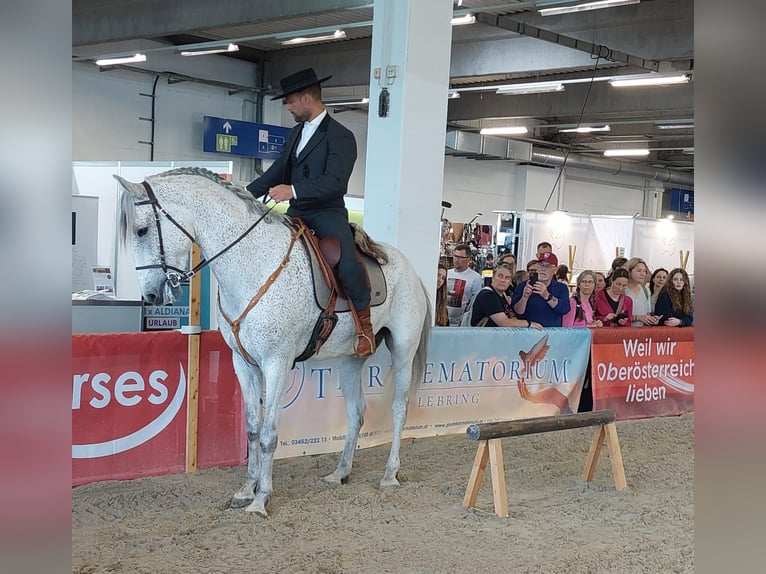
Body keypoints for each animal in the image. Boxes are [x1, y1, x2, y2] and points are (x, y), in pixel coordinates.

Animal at [118, 169, 436, 520]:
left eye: (142, 230)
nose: (150, 296)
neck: (253, 266)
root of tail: (409, 269)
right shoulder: (243, 364)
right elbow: (253, 429)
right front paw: (246, 489)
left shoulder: (276, 363)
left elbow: (269, 434)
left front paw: (261, 499)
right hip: (351, 359)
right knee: (356, 412)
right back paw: (340, 472)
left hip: (403, 350)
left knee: (399, 409)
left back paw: (390, 475)